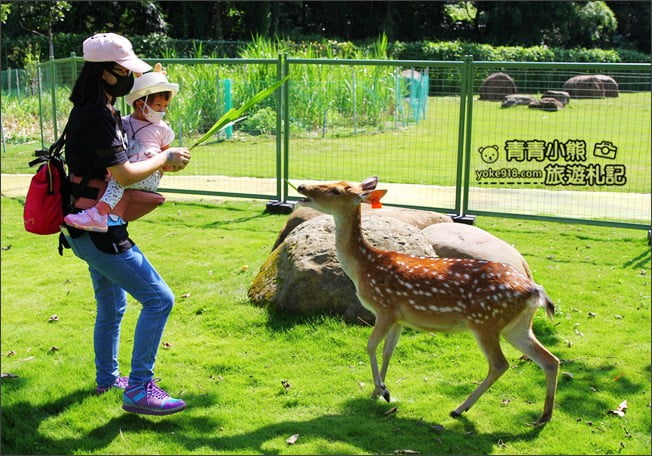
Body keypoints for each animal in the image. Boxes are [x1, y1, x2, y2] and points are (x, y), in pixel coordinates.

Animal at [296, 176, 560, 426]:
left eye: (336, 190)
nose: (301, 187)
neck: (364, 268)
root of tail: (535, 290)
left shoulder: (385, 308)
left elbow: (370, 346)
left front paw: (382, 390)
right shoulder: (400, 317)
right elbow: (388, 351)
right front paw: (378, 392)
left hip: (485, 321)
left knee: (500, 364)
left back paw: (460, 408)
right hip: (517, 326)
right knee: (550, 360)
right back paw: (544, 416)